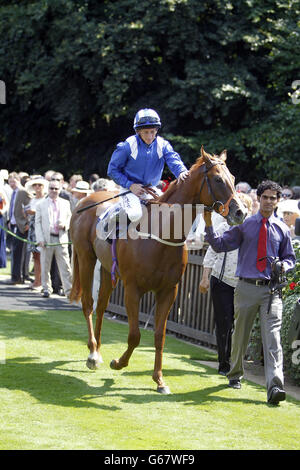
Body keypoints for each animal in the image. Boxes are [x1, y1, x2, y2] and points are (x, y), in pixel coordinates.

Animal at [70, 147, 246, 392]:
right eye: (218, 179)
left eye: (234, 178)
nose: (241, 212)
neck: (162, 235)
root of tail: (85, 201)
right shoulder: (132, 289)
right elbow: (134, 335)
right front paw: (119, 363)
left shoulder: (168, 291)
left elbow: (159, 336)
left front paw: (159, 379)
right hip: (86, 257)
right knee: (88, 303)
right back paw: (93, 355)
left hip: (106, 268)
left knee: (101, 306)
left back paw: (97, 349)